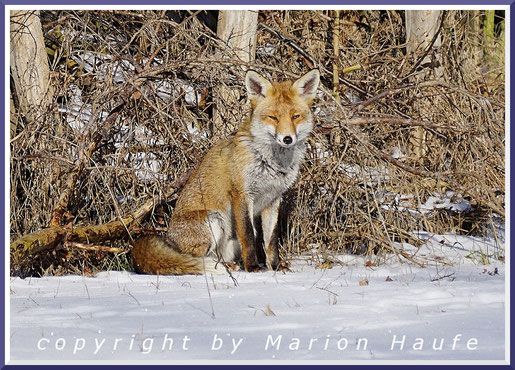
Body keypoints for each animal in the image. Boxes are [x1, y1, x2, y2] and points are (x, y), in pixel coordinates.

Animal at [131, 69, 320, 274]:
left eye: (295, 116)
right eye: (273, 117)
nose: (287, 139)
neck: (271, 164)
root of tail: (169, 238)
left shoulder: (273, 199)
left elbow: (271, 240)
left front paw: (275, 267)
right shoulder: (242, 195)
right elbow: (249, 236)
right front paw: (253, 267)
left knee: (216, 256)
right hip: (214, 219)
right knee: (194, 258)